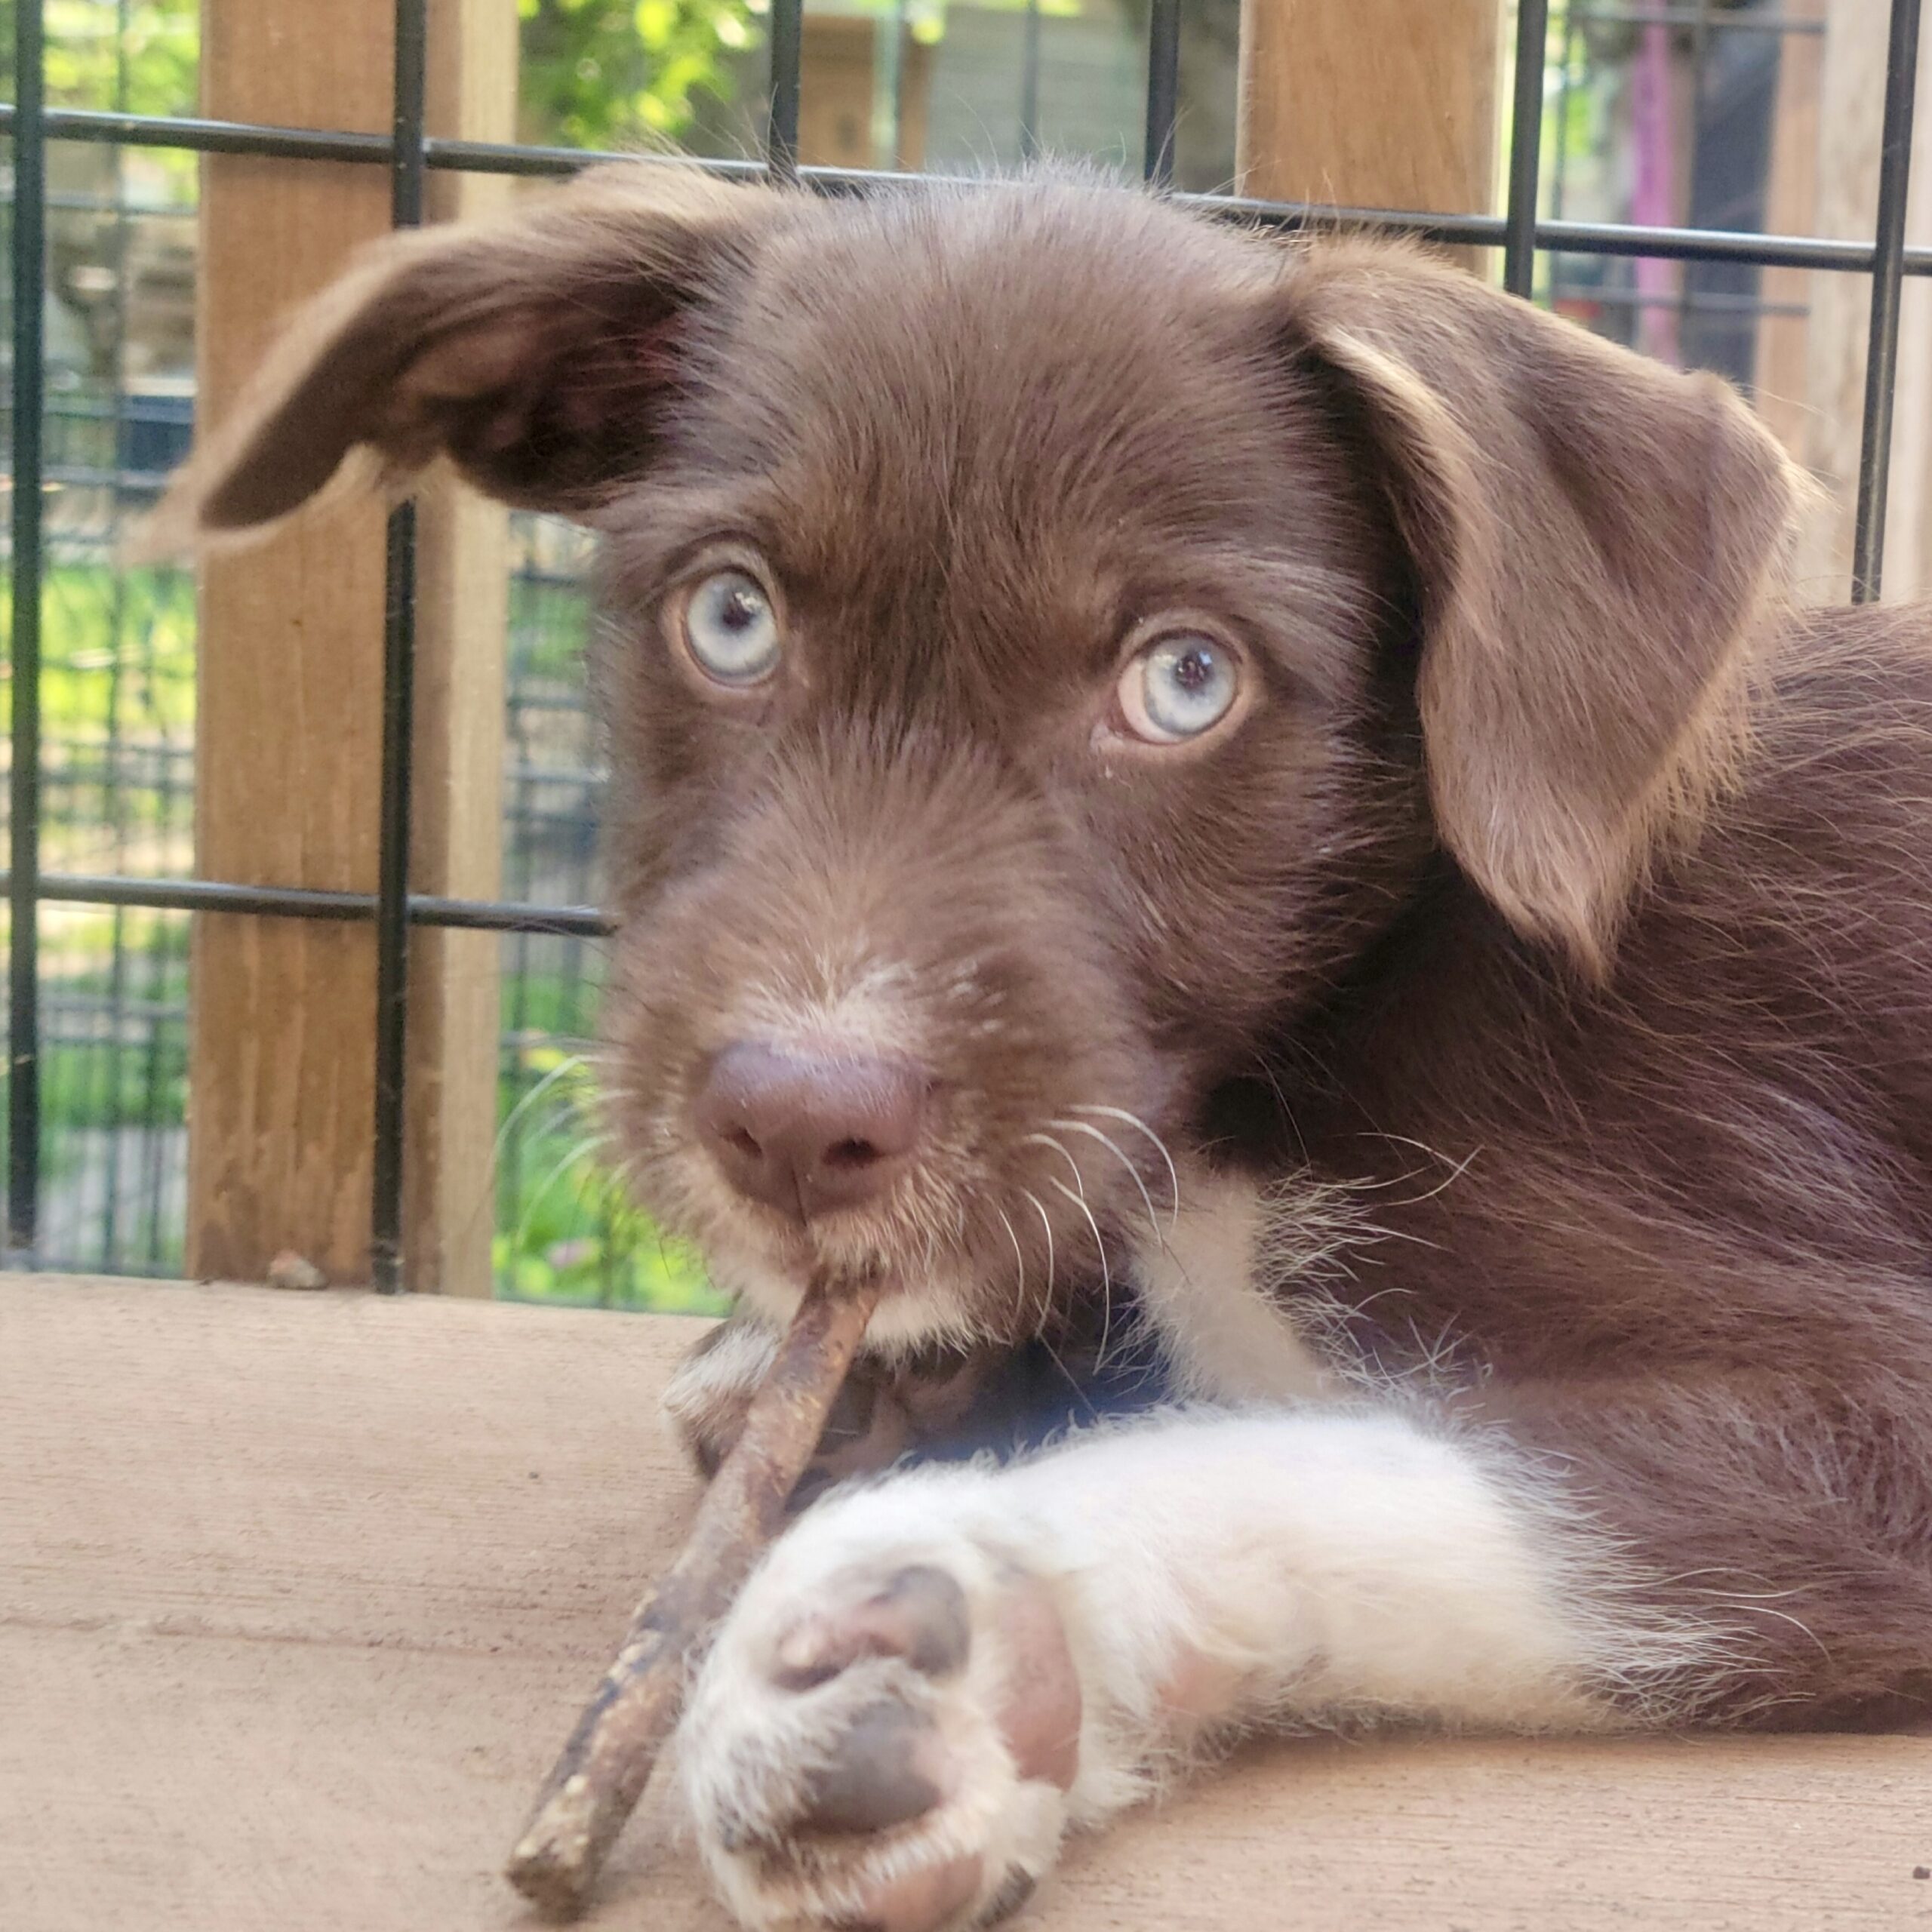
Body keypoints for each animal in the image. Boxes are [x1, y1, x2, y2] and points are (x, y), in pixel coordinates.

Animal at [157, 164, 1932, 1932]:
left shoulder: (1856, 1375)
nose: (794, 1124)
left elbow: (1401, 1471)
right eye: (729, 617)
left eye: (1186, 678)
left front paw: (982, 1619)